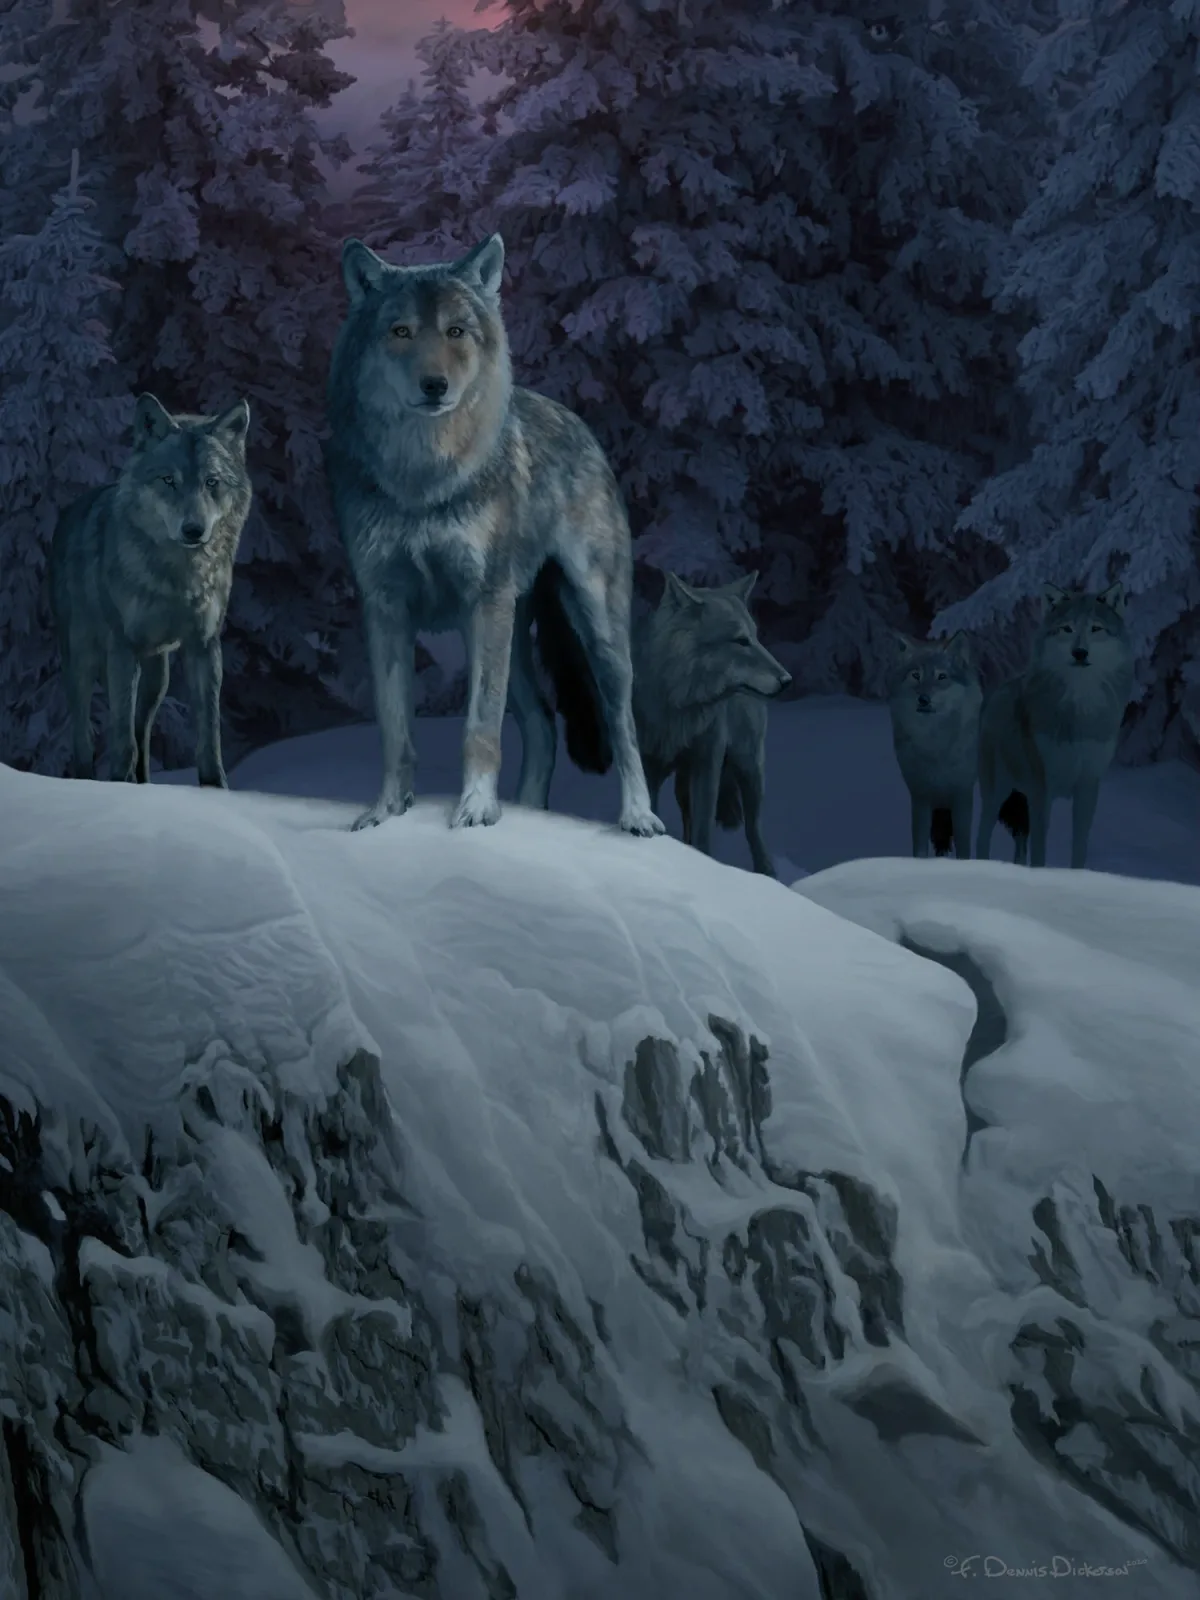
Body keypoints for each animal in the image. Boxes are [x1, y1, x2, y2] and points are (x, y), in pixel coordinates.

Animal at [50, 393, 252, 787]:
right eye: (168, 480)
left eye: (212, 482)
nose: (193, 530)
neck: (179, 579)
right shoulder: (122, 648)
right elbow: (120, 737)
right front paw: (117, 785)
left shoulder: (204, 646)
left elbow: (209, 734)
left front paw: (216, 788)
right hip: (82, 663)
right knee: (84, 736)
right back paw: (88, 780)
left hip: (158, 676)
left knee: (142, 733)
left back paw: (142, 783)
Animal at [324, 233, 663, 837]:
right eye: (401, 331)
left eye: (457, 331)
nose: (434, 385)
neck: (424, 480)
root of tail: (578, 424)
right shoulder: (385, 607)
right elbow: (394, 729)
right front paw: (386, 812)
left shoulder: (484, 602)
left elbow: (478, 727)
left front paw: (477, 809)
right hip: (510, 636)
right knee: (545, 725)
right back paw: (530, 813)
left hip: (591, 627)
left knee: (622, 723)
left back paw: (638, 816)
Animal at [632, 572, 791, 875]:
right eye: (741, 641)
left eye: (755, 637)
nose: (787, 680)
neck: (678, 706)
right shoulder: (649, 766)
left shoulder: (707, 765)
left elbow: (704, 831)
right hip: (684, 785)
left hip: (749, 769)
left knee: (753, 830)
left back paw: (767, 873)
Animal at [887, 631, 982, 858]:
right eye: (916, 676)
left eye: (941, 677)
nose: (923, 699)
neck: (935, 743)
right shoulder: (920, 796)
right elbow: (920, 848)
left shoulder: (962, 795)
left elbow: (963, 848)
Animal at [976, 583, 1133, 869]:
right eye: (1067, 629)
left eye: (1096, 628)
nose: (1079, 653)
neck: (1079, 713)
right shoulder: (1042, 789)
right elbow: (1040, 851)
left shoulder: (1088, 787)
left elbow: (1079, 847)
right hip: (997, 794)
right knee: (982, 837)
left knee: (1019, 846)